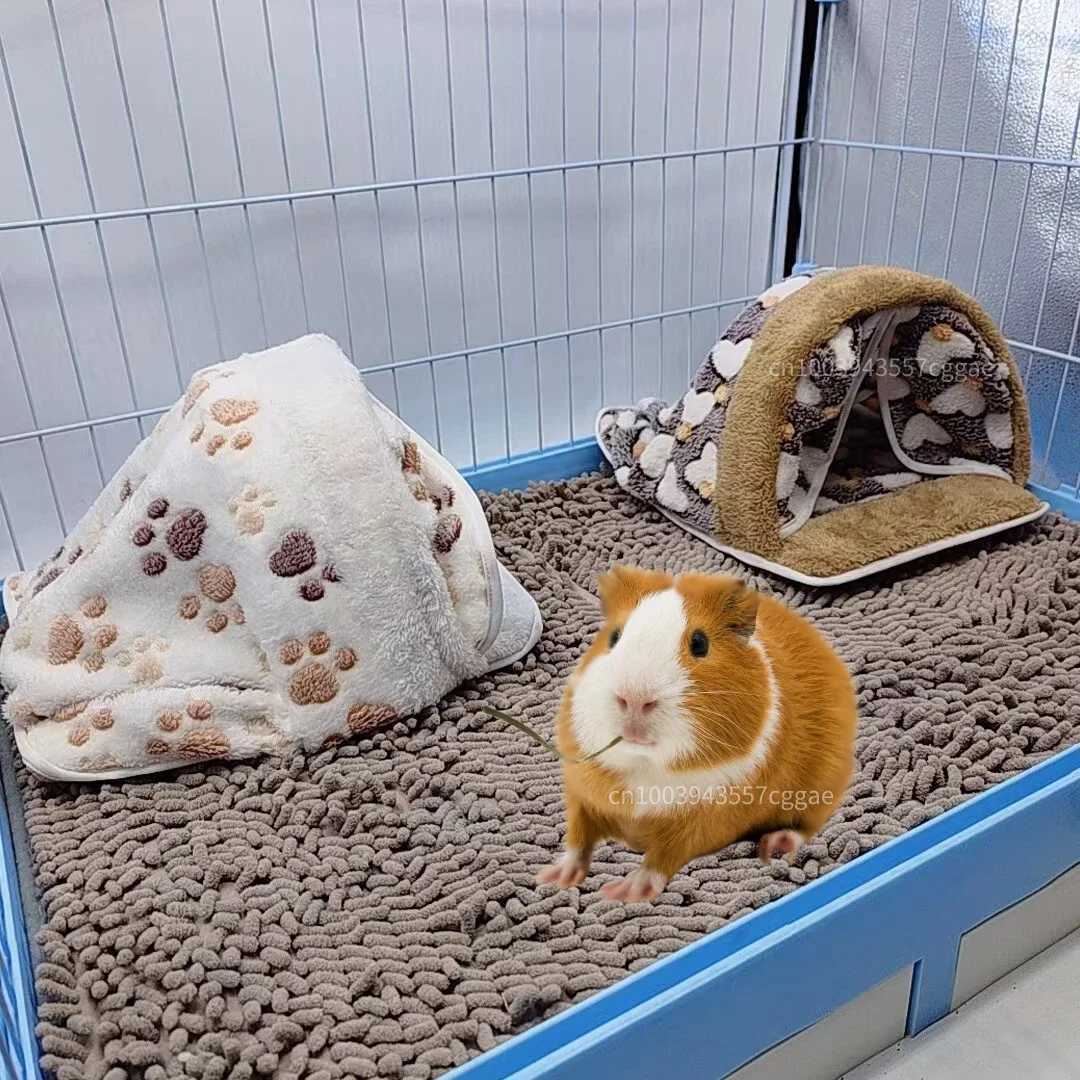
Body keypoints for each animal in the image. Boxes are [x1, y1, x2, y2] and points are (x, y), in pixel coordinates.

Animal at [537, 566, 857, 902]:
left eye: (700, 643)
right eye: (614, 636)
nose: (634, 699)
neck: (644, 766)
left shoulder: (702, 824)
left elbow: (661, 858)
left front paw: (623, 893)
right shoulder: (581, 795)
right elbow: (577, 839)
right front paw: (552, 879)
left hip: (822, 786)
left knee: (806, 826)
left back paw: (774, 847)